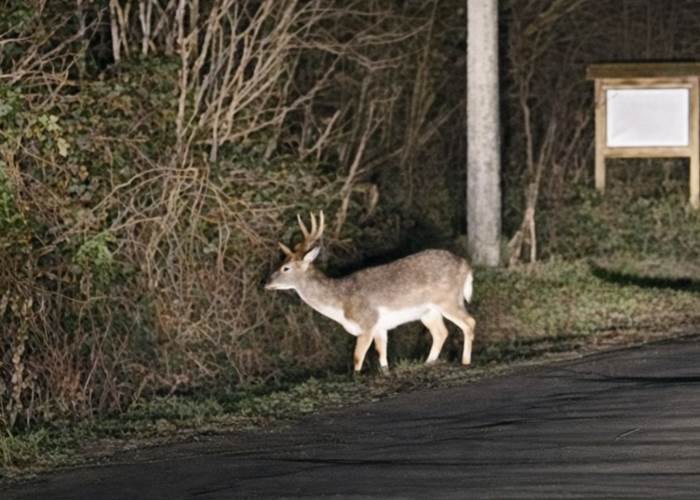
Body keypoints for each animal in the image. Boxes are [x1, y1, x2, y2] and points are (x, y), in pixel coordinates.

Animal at [264, 211, 476, 374]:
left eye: (285, 268)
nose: (266, 283)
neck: (341, 303)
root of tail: (466, 266)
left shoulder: (367, 322)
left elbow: (357, 358)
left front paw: (356, 377)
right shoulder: (380, 327)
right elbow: (382, 356)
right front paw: (386, 373)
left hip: (448, 299)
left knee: (469, 322)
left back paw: (465, 362)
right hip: (428, 312)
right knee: (441, 332)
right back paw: (428, 363)